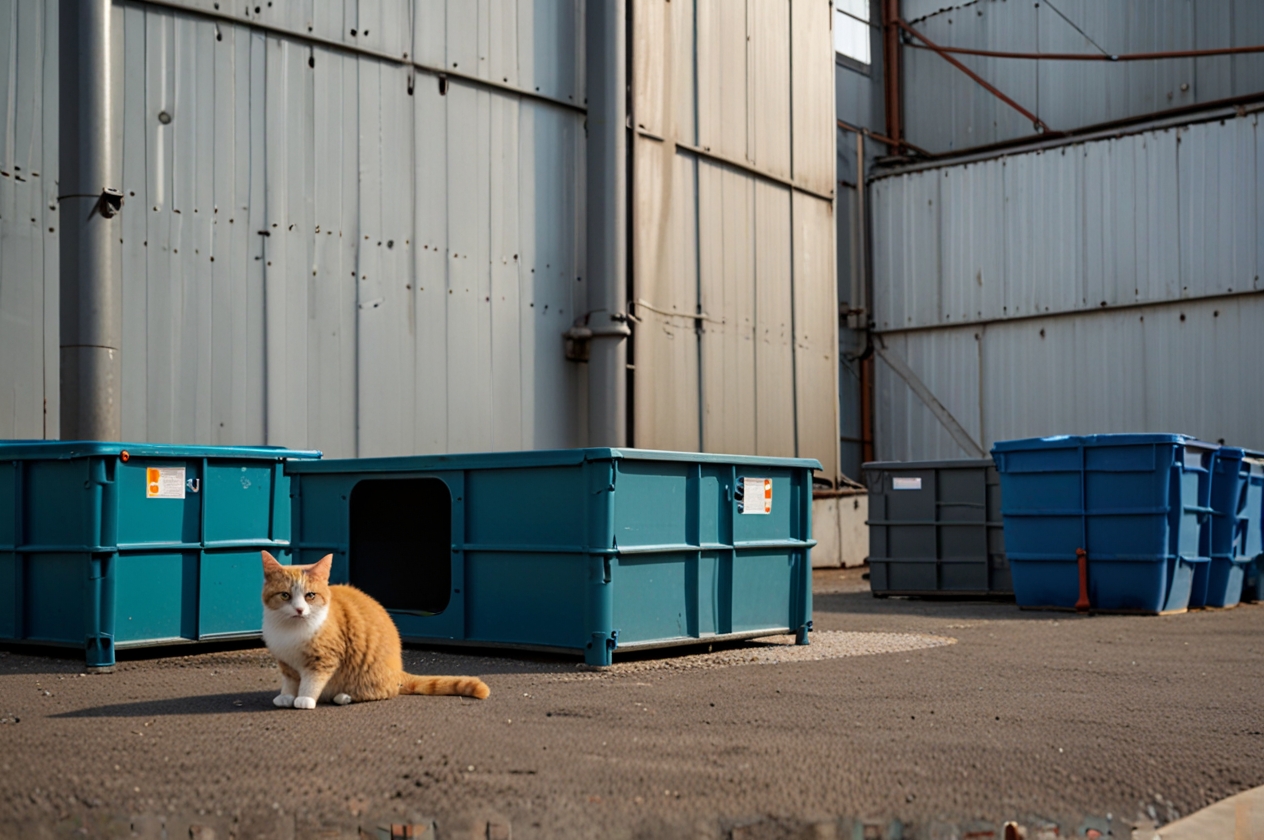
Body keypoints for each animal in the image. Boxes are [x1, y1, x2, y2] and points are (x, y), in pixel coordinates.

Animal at [260, 550, 487, 707]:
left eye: (310, 596)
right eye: (285, 595)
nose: (299, 610)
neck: (291, 630)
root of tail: (398, 672)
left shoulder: (324, 659)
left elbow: (312, 680)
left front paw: (305, 698)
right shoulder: (286, 662)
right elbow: (290, 681)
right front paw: (287, 696)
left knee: (381, 692)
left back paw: (343, 696)